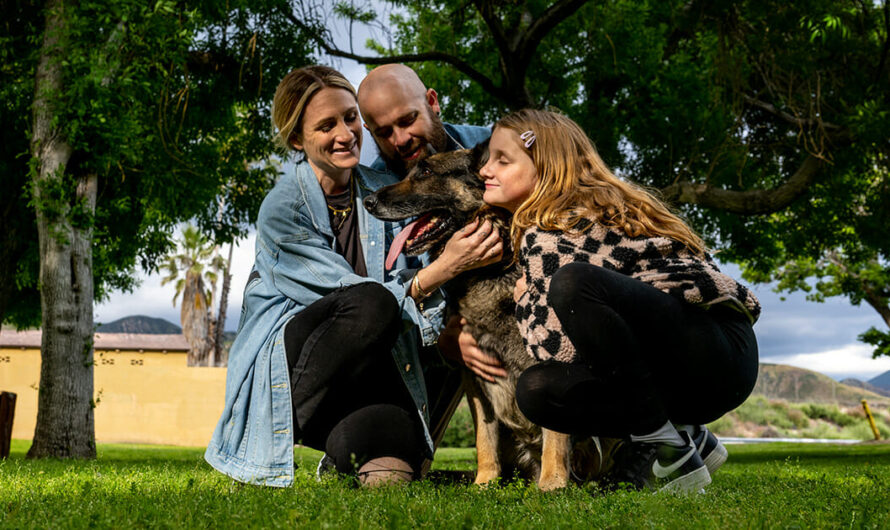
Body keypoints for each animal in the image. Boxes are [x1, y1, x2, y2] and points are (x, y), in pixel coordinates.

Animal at [360, 142, 616, 488]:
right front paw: (485, 481)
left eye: (426, 171)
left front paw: (552, 482)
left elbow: (554, 433)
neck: (496, 267)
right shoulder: (474, 375)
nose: (368, 201)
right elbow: (484, 434)